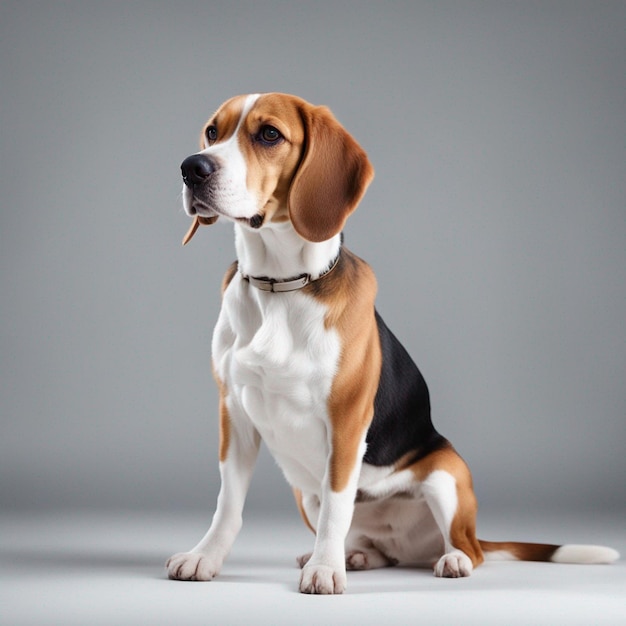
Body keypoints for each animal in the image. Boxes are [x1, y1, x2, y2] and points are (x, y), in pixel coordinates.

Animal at [165, 91, 616, 588]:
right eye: (212, 132)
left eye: (269, 134)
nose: (192, 168)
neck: (280, 286)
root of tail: (411, 546)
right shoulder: (234, 414)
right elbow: (228, 504)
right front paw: (206, 556)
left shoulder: (346, 423)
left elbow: (338, 503)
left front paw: (326, 570)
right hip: (306, 495)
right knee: (377, 547)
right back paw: (359, 555)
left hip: (446, 475)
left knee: (470, 548)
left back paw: (449, 559)